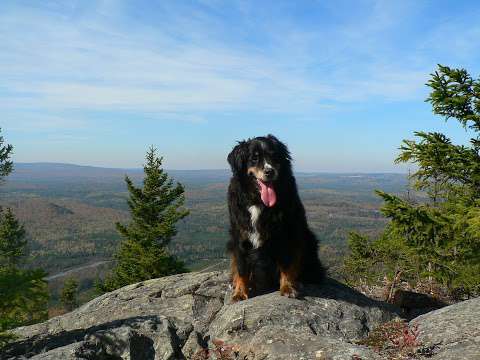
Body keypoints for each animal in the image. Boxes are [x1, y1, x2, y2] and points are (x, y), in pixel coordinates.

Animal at [227, 134, 324, 300]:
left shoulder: (285, 234)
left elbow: (286, 264)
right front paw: (239, 292)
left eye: (274, 156)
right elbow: (241, 267)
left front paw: (287, 287)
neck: (258, 201)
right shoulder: (239, 236)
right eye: (254, 158)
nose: (269, 171)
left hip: (307, 239)